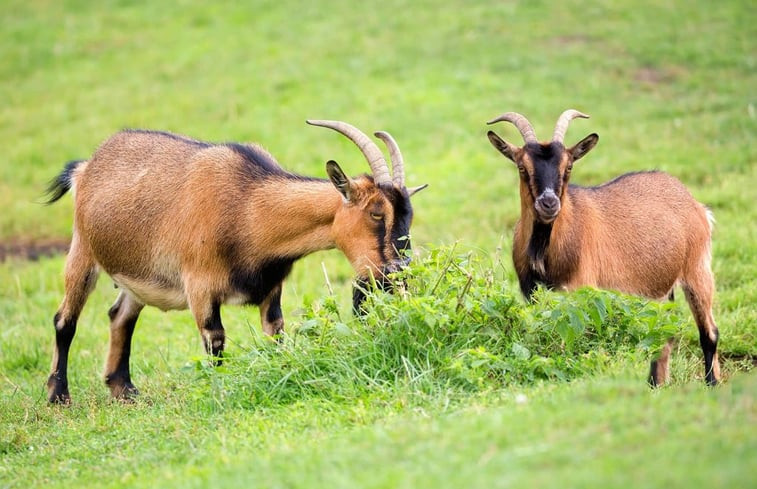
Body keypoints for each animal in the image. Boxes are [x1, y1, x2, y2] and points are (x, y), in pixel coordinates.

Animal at [44, 120, 428, 402]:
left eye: (408, 214)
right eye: (376, 213)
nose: (396, 275)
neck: (248, 208)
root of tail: (85, 168)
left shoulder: (271, 288)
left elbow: (276, 335)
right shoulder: (199, 287)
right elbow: (215, 341)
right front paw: (221, 390)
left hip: (135, 276)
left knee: (120, 316)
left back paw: (124, 389)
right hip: (83, 251)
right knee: (65, 320)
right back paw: (58, 395)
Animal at [488, 109, 716, 386]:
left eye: (569, 166)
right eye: (522, 167)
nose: (549, 203)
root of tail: (695, 204)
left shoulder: (582, 291)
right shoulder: (531, 292)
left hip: (697, 268)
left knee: (709, 332)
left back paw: (712, 383)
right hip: (662, 288)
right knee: (664, 336)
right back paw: (655, 384)